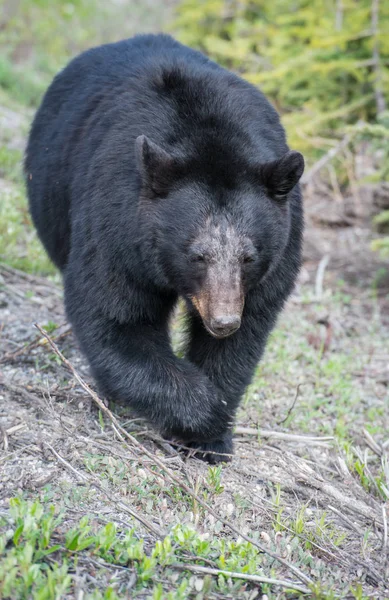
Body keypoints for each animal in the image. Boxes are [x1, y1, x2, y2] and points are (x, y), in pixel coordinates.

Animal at [25, 32, 304, 464]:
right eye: (197, 255)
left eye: (248, 257)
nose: (223, 321)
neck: (210, 136)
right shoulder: (117, 226)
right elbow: (117, 318)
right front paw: (203, 410)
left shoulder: (277, 258)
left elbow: (245, 336)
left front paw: (212, 435)